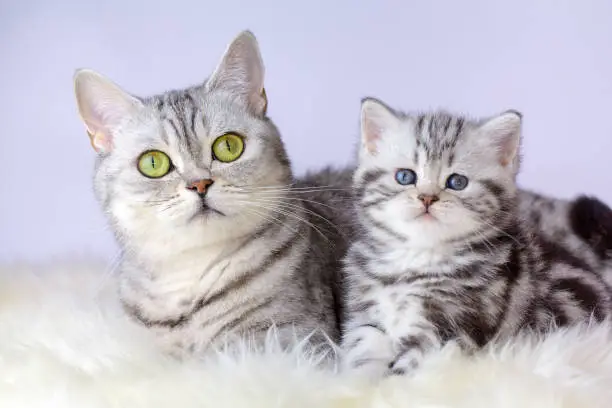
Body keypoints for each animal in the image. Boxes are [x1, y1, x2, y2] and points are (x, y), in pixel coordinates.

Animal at [340, 98, 612, 380]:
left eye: (457, 182)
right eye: (405, 177)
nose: (427, 198)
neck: (417, 259)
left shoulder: (450, 328)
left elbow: (409, 371)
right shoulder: (367, 316)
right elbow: (363, 351)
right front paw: (359, 382)